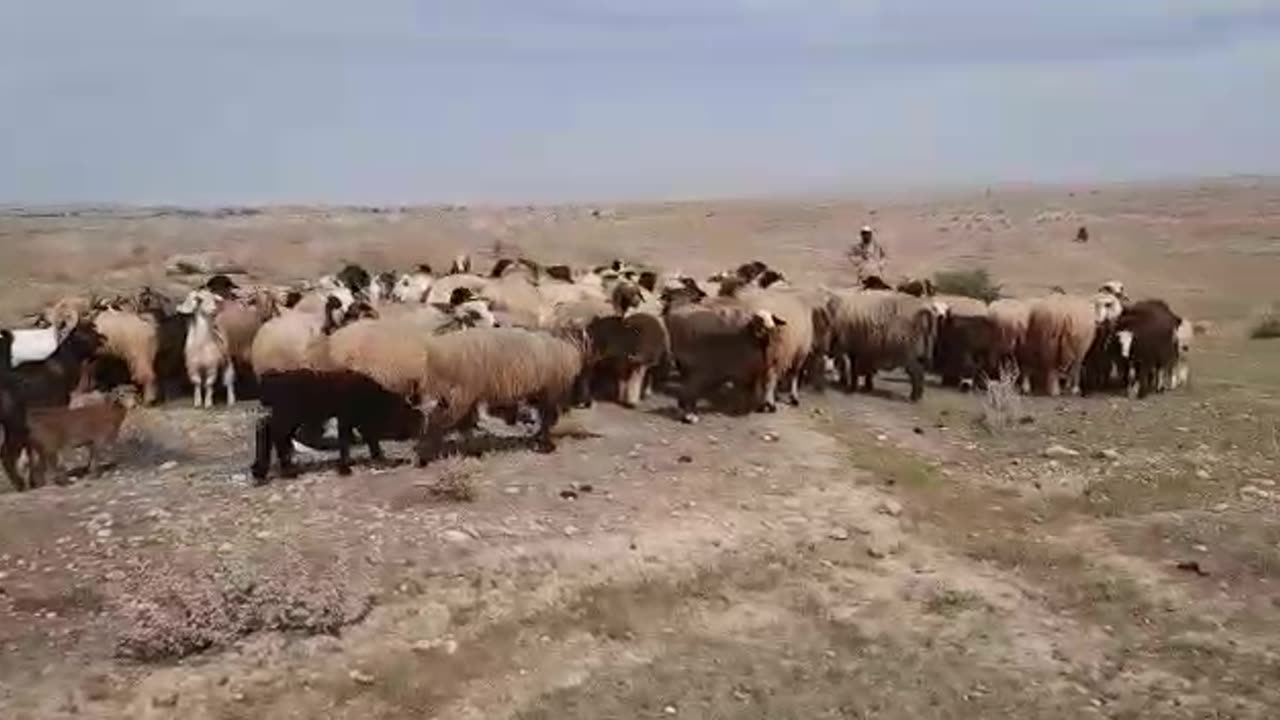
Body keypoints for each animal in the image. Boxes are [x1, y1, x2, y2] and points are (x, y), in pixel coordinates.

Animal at [249, 368, 424, 481]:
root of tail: (272, 380)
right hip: (290, 414)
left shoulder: (358, 421)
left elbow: (370, 440)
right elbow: (346, 440)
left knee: (265, 425)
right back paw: (286, 471)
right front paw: (345, 468)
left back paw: (261, 470)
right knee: (274, 431)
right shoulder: (346, 417)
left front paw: (381, 459)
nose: (419, 431)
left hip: (291, 416)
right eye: (407, 417)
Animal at [412, 325, 586, 458]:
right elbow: (547, 419)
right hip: (459, 394)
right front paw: (545, 446)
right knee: (437, 420)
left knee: (446, 421)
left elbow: (545, 420)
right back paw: (427, 453)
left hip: (457, 395)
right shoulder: (550, 391)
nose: (584, 402)